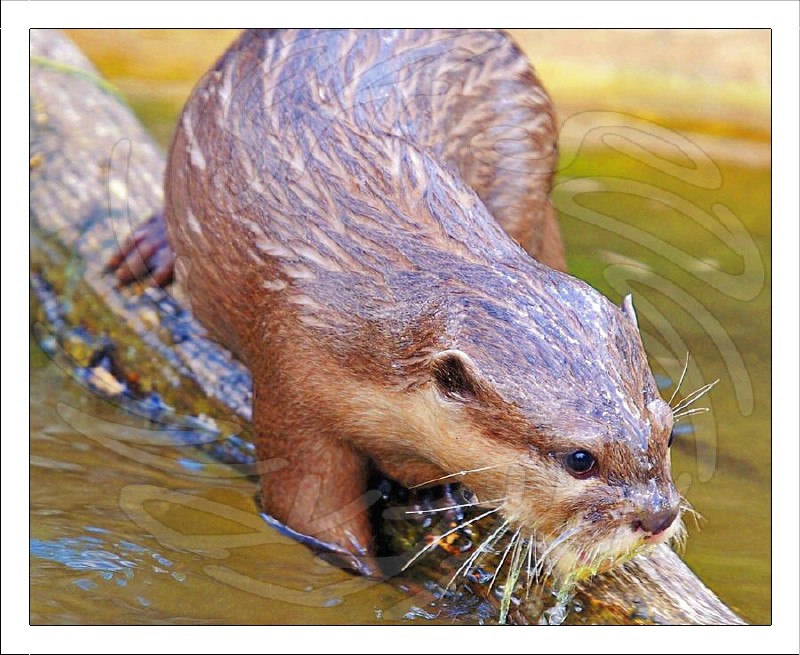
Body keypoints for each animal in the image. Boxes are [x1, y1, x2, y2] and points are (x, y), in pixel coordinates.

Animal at [109, 29, 684, 581]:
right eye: (580, 459)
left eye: (666, 431)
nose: (657, 515)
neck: (356, 300)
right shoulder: (290, 369)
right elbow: (308, 512)